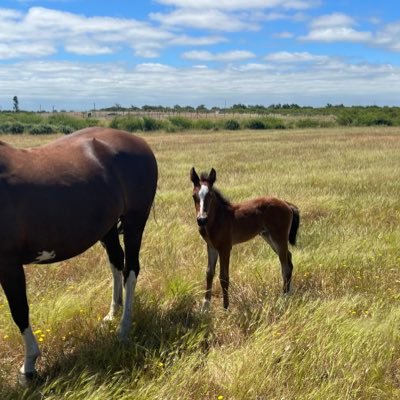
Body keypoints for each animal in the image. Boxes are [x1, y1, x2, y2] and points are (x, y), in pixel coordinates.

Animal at [0, 127, 158, 382]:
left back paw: (123, 329)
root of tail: (138, 141)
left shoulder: (8, 264)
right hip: (108, 227)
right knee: (116, 263)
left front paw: (29, 367)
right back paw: (112, 314)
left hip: (135, 222)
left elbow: (19, 311)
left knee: (130, 270)